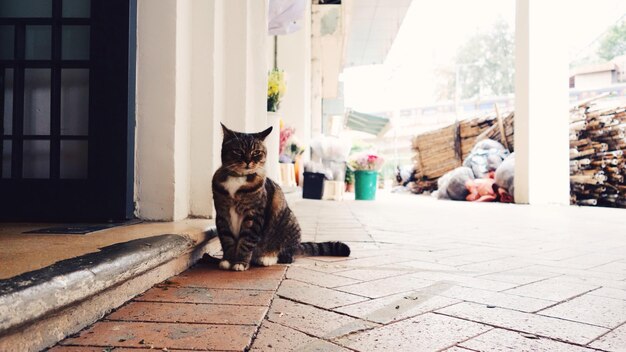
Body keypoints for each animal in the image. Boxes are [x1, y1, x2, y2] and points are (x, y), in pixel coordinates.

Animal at [211, 124, 348, 272]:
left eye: (256, 152)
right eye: (237, 151)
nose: (248, 161)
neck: (238, 178)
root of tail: (298, 246)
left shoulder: (254, 215)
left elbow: (246, 241)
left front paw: (241, 262)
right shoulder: (222, 214)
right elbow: (227, 240)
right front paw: (227, 260)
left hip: (288, 222)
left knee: (288, 256)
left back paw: (267, 258)